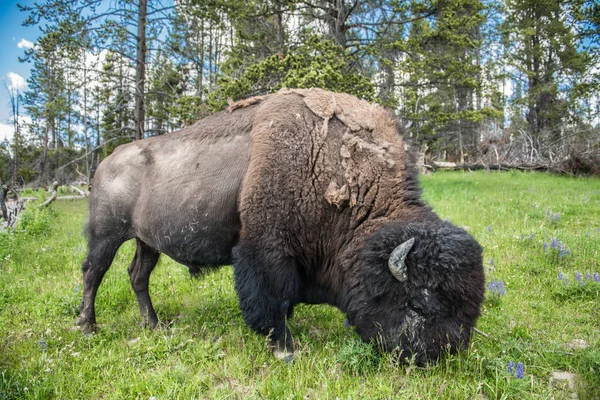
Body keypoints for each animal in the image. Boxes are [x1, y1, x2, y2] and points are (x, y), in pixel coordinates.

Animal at [77, 88, 486, 366]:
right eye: (418, 304)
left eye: (471, 306)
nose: (442, 356)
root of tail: (105, 162)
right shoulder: (267, 250)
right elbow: (271, 297)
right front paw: (285, 348)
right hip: (106, 235)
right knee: (93, 272)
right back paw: (87, 326)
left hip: (146, 241)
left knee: (137, 275)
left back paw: (154, 325)